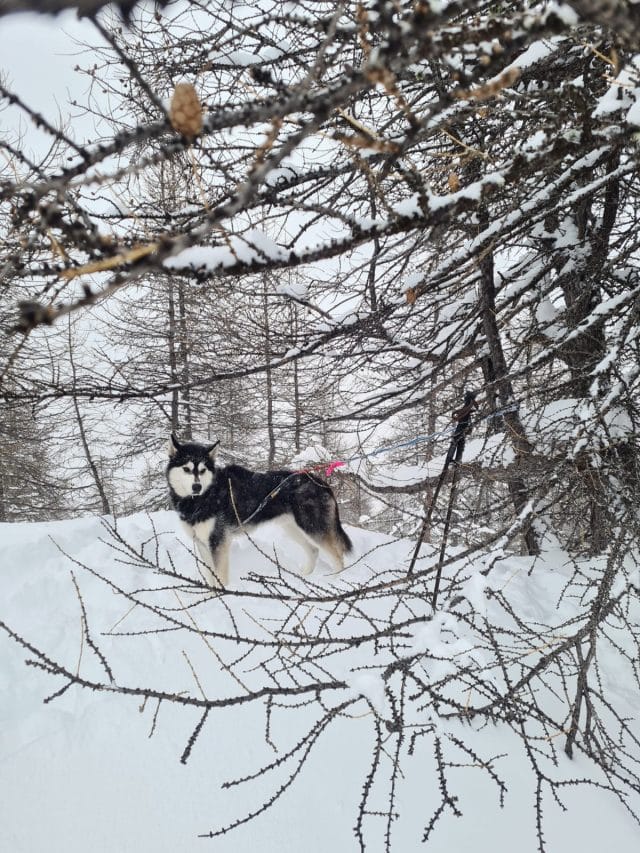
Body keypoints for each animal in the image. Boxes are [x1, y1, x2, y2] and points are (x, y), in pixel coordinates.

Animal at [165, 432, 352, 584]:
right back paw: (305, 577)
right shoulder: (203, 543)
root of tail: (320, 481)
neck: (204, 496)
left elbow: (220, 577)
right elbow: (210, 576)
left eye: (203, 470)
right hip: (292, 528)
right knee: (313, 550)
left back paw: (336, 581)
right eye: (186, 469)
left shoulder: (218, 542)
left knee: (338, 557)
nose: (196, 487)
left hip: (313, 528)